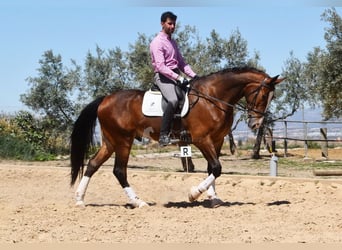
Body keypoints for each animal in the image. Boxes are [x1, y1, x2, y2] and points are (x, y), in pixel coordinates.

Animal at [69, 66, 284, 207]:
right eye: (263, 96)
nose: (255, 124)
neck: (213, 98)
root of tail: (105, 99)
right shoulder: (202, 140)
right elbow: (216, 168)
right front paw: (193, 194)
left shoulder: (217, 140)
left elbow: (212, 170)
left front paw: (213, 198)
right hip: (123, 141)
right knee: (119, 171)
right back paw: (139, 202)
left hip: (110, 142)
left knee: (93, 164)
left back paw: (80, 199)